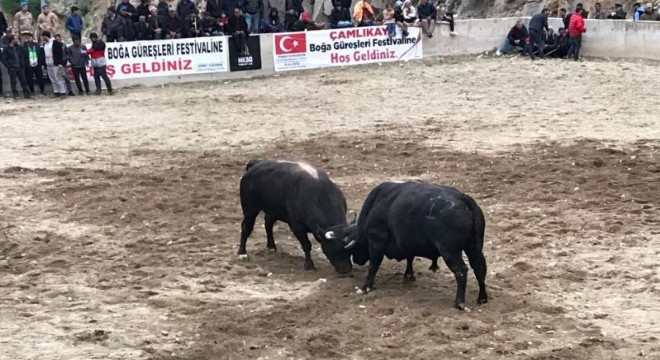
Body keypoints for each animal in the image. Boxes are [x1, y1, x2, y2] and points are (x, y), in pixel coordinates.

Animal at [326, 181, 488, 310]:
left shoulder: (376, 243)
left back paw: (459, 303)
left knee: (461, 271)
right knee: (479, 269)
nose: (356, 260)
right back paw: (482, 298)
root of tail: (464, 199)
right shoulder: (408, 243)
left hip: (450, 251)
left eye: (356, 247)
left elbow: (373, 266)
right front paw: (408, 275)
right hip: (475, 248)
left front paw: (365, 287)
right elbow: (410, 258)